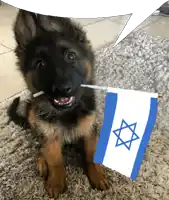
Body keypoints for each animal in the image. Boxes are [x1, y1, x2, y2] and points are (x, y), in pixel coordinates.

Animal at [8, 10, 109, 198]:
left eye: (71, 56)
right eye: (40, 63)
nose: (63, 89)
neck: (67, 112)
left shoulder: (89, 128)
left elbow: (90, 154)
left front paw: (97, 175)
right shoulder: (49, 133)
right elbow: (54, 158)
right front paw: (56, 181)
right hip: (33, 114)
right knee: (40, 142)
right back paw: (42, 160)